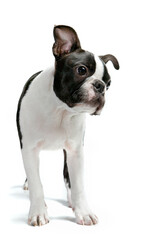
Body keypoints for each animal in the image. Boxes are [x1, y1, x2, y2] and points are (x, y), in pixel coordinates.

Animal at [16, 25, 119, 226]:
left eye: (109, 83)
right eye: (81, 69)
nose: (101, 86)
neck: (60, 110)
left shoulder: (75, 151)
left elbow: (77, 183)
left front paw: (83, 212)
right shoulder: (29, 149)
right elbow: (36, 183)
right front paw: (38, 212)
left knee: (67, 175)